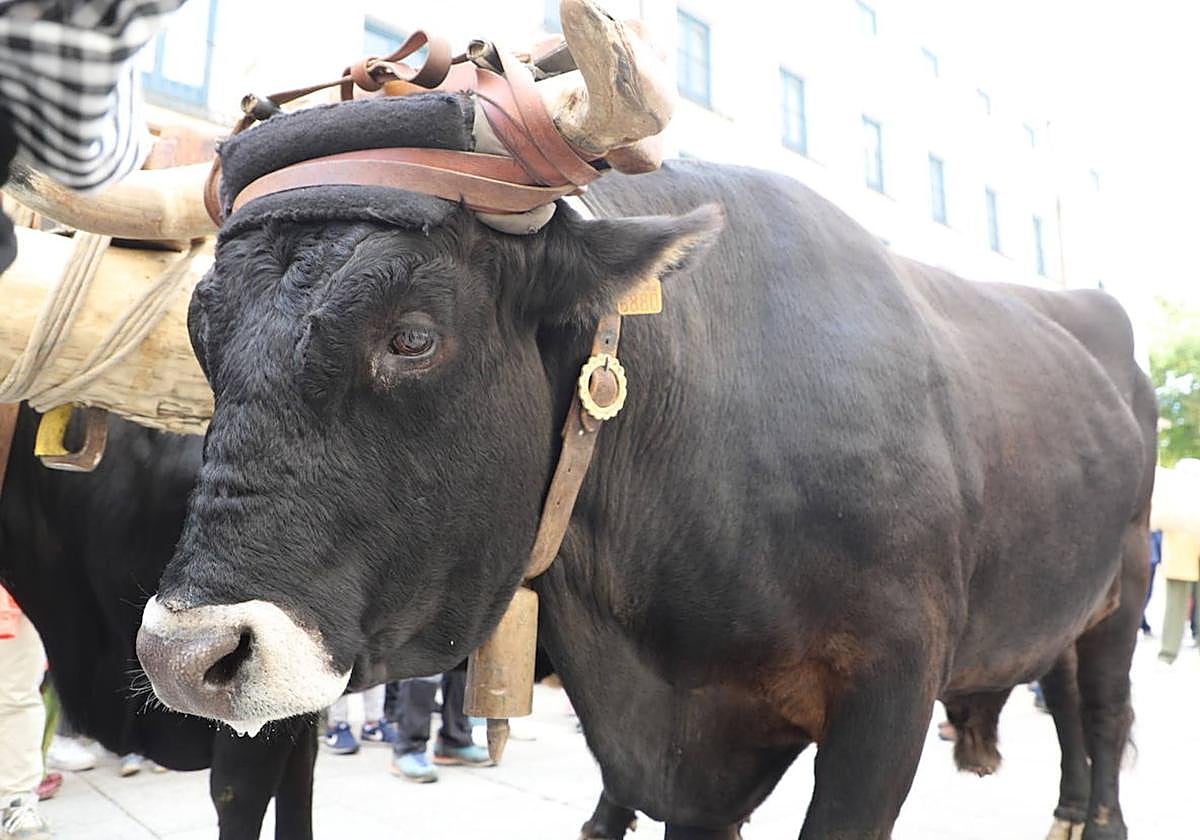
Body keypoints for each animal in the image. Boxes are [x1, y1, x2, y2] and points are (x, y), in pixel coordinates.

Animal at [134, 109, 1156, 838]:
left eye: (413, 336)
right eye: (201, 333)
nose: (186, 658)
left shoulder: (890, 690)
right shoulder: (691, 748)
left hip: (1125, 594)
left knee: (1102, 714)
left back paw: (1098, 821)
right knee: (1067, 701)